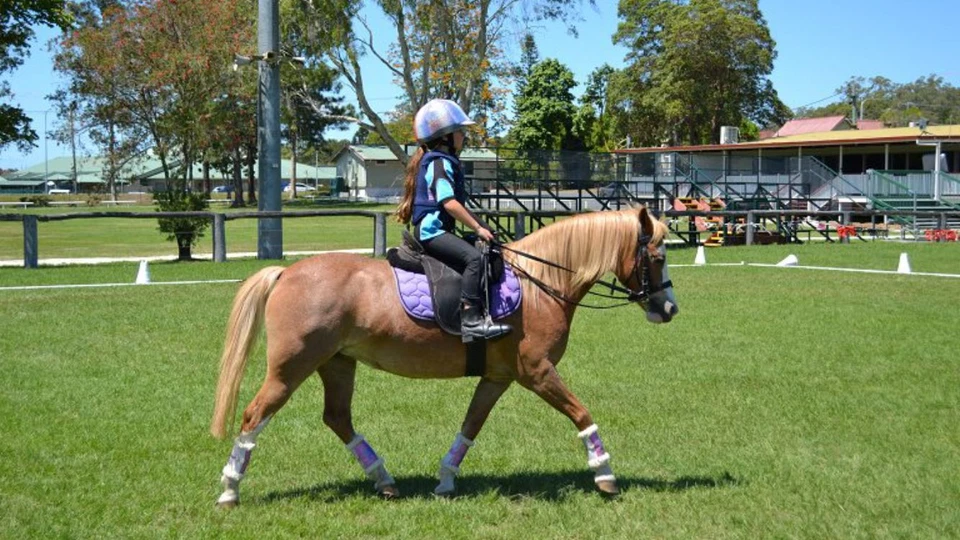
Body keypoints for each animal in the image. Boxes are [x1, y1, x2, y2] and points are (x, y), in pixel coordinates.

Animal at [210, 206, 678, 507]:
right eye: (656, 256)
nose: (669, 309)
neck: (539, 283)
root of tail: (287, 272)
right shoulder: (538, 372)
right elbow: (582, 414)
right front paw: (605, 474)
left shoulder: (497, 377)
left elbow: (471, 425)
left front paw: (446, 480)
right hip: (291, 367)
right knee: (254, 416)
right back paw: (230, 489)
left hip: (337, 363)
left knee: (337, 418)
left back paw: (384, 480)